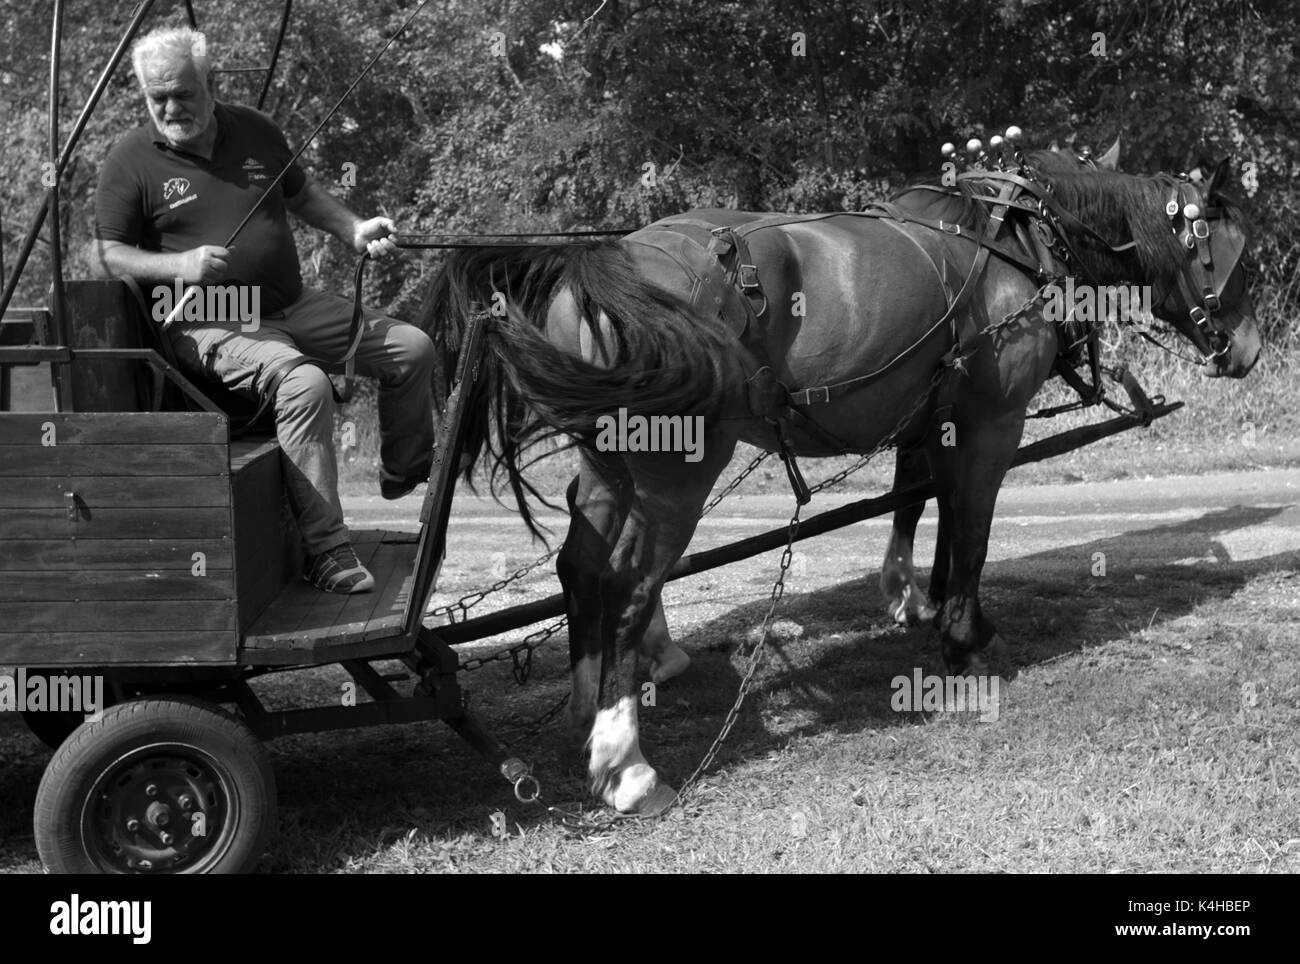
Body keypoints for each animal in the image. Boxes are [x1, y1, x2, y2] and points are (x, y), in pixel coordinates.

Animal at [418, 147, 1261, 814]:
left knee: (581, 567)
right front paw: (965, 642)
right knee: (628, 584)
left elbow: (926, 504)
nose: (1249, 351)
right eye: (1235, 257)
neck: (1019, 240)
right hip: (677, 468)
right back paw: (627, 766)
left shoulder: (935, 411)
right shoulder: (991, 419)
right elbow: (974, 525)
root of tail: (602, 266)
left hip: (608, 461)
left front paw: (919, 601)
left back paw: (585, 717)